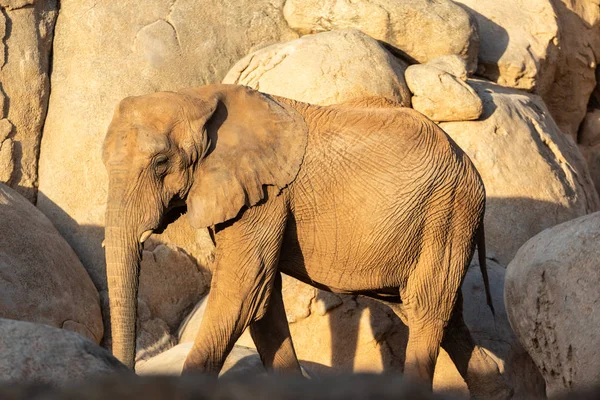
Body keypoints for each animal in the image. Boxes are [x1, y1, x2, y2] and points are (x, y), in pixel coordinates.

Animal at [102, 83, 510, 396]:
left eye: (160, 163)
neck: (198, 95)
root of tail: (471, 168)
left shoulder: (266, 195)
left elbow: (243, 292)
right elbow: (262, 300)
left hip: (447, 212)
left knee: (427, 309)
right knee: (436, 312)